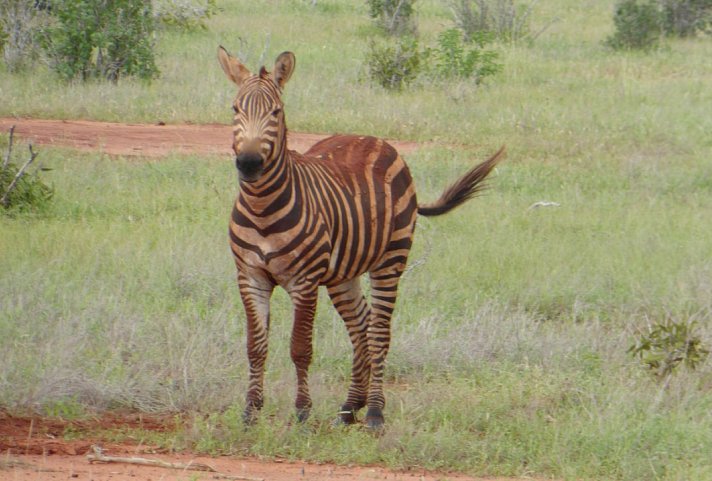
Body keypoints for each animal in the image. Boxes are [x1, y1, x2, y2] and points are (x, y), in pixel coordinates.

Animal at [217, 46, 506, 428]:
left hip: (390, 260)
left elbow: (300, 348)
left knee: (378, 331)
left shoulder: (305, 281)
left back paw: (374, 410)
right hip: (344, 274)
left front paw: (302, 412)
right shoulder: (250, 277)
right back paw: (350, 406)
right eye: (235, 108)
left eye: (276, 112)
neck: (262, 207)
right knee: (361, 326)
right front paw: (250, 411)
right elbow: (255, 346)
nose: (249, 163)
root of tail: (372, 138)